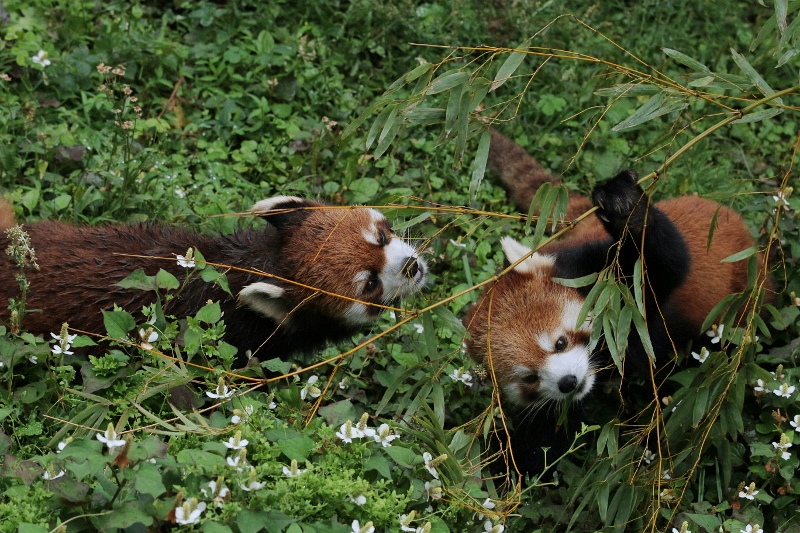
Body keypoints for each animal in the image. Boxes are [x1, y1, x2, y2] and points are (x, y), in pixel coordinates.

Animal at [462, 131, 768, 476]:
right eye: (529, 378)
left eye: (560, 342)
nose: (568, 382)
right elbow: (543, 443)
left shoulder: (609, 274)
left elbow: (664, 262)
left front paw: (624, 207)